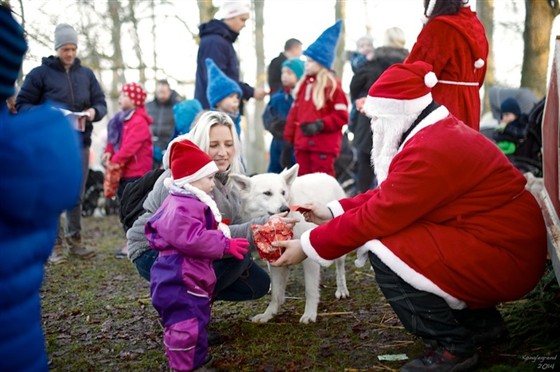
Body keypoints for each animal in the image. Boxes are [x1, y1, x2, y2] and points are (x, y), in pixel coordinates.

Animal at [230, 163, 348, 322]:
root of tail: (326, 175)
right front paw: (269, 314)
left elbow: (310, 290)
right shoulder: (276, 261)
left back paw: (341, 289)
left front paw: (309, 314)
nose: (284, 208)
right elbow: (276, 294)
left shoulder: (308, 259)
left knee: (340, 268)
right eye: (267, 193)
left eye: (283, 192)